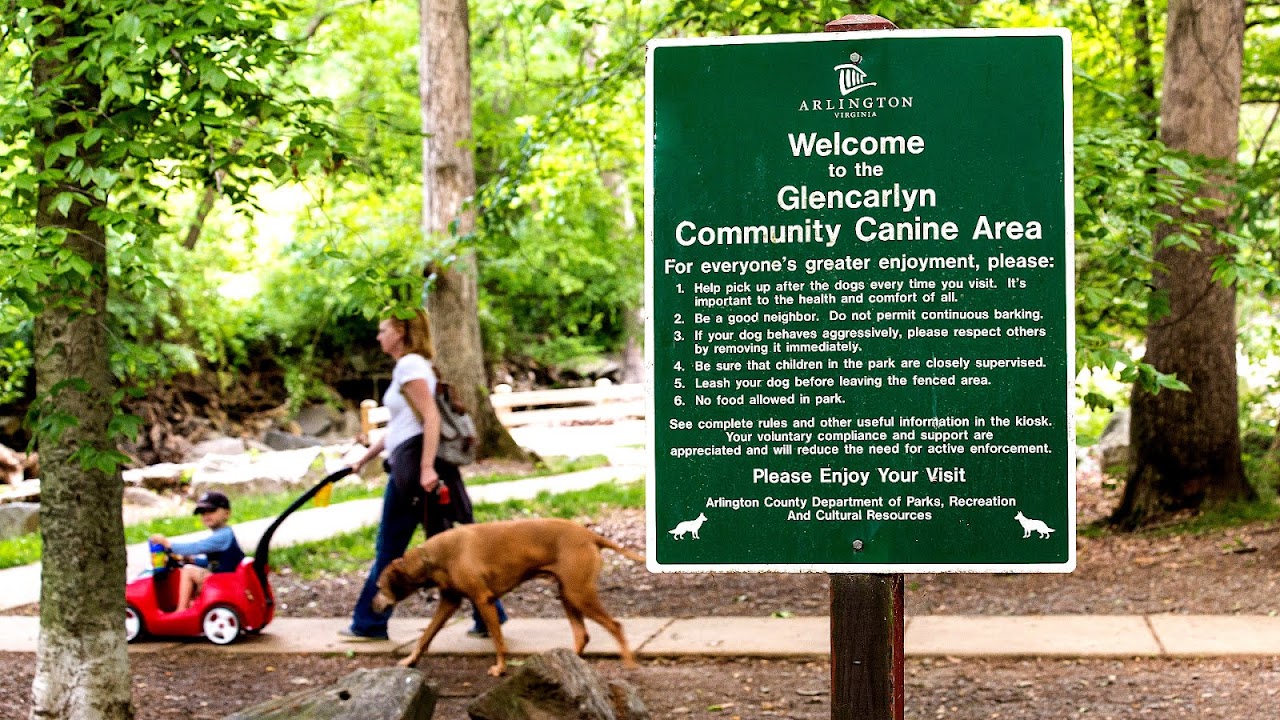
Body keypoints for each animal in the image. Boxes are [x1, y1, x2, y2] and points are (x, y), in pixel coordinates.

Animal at [373, 515, 645, 671]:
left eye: (378, 587)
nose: (372, 606)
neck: (432, 558)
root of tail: (590, 534)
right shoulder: (449, 602)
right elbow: (425, 636)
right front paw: (410, 661)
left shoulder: (483, 600)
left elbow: (498, 639)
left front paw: (501, 668)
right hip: (567, 593)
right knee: (582, 634)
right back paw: (566, 663)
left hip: (579, 593)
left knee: (615, 625)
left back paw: (629, 664)